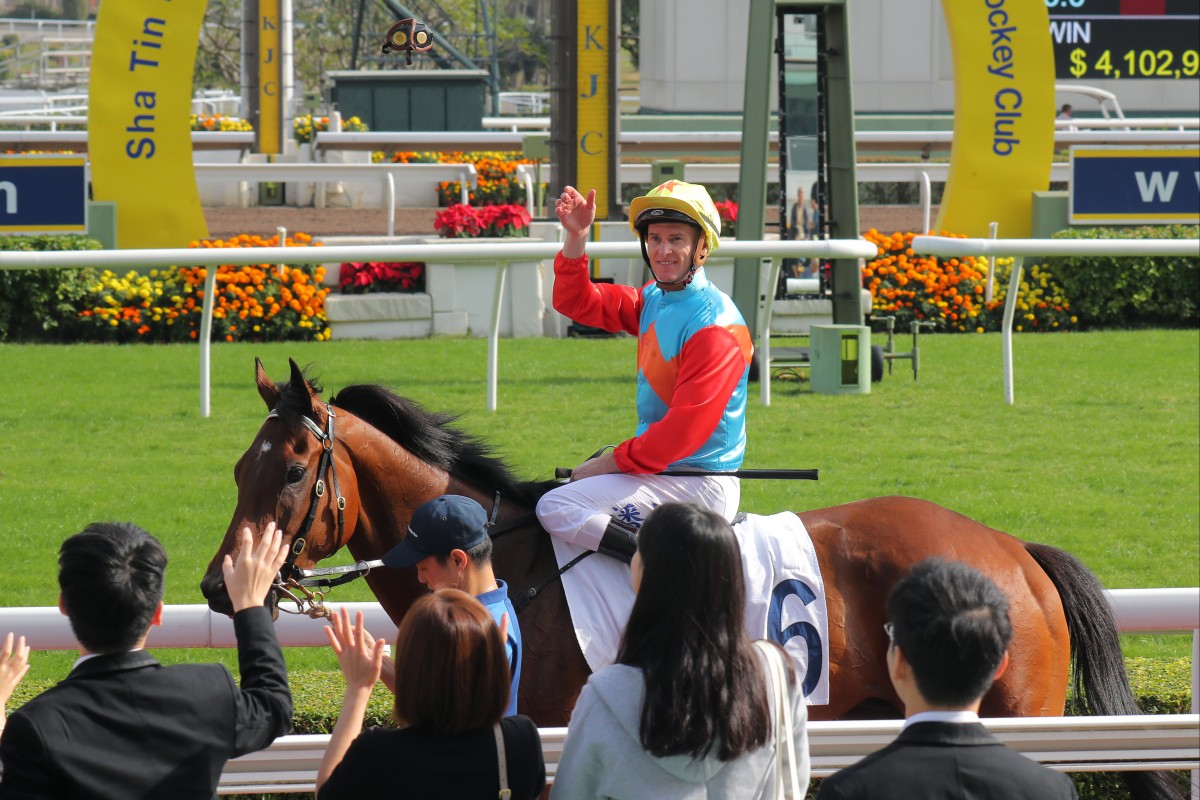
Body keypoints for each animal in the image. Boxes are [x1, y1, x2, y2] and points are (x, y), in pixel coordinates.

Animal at [201, 362, 1176, 800]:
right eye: (238, 468)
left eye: (293, 471)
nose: (217, 586)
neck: (502, 568)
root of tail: (1015, 550)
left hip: (1019, 719)